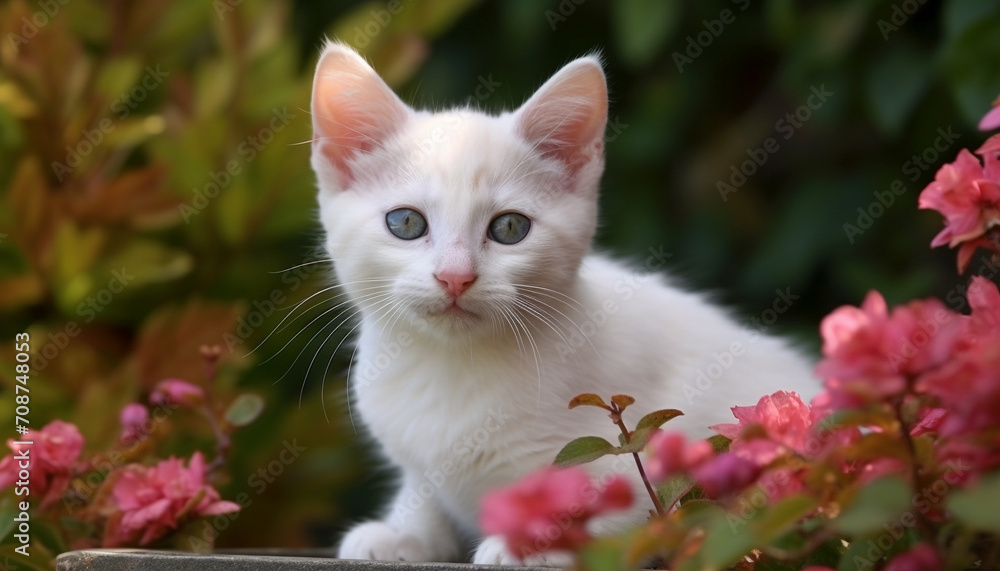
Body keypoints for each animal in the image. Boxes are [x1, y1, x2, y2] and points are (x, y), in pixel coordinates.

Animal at [312, 42, 820, 564]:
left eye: (509, 228)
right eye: (406, 223)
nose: (455, 276)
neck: (452, 365)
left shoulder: (637, 454)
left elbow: (609, 500)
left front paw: (529, 539)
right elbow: (425, 488)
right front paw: (402, 533)